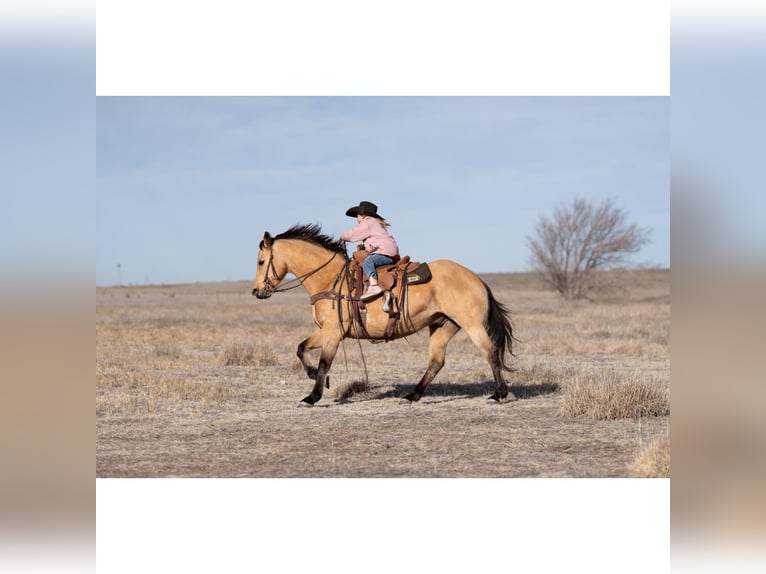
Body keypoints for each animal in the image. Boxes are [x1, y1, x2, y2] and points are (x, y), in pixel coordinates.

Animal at [254, 223, 520, 408]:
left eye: (261, 261)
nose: (256, 291)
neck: (330, 280)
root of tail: (477, 279)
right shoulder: (327, 330)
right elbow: (301, 348)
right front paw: (312, 377)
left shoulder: (333, 332)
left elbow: (324, 363)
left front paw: (311, 397)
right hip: (443, 326)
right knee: (436, 362)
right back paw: (411, 396)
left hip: (472, 325)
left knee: (490, 352)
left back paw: (499, 394)